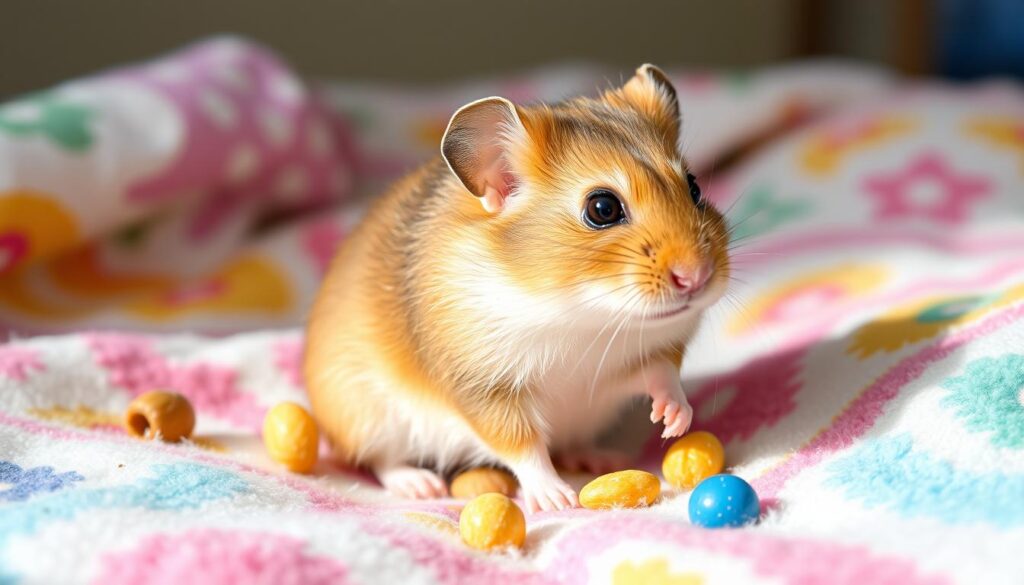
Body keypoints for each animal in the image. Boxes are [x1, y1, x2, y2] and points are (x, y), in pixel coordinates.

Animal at [301, 64, 729, 512]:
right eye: (602, 208)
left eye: (694, 187)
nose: (697, 276)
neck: (581, 315)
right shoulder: (486, 392)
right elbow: (523, 446)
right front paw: (558, 500)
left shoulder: (619, 369)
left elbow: (661, 374)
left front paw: (674, 421)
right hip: (363, 415)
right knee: (380, 460)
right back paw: (421, 485)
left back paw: (598, 457)